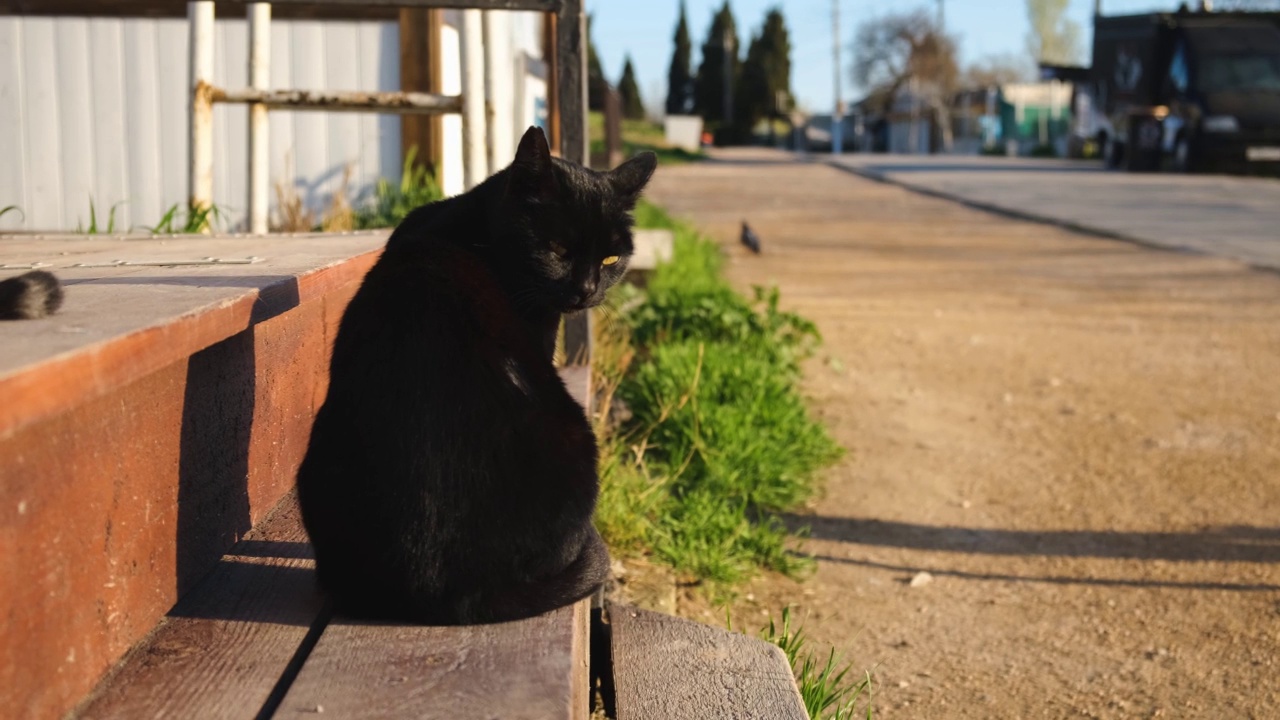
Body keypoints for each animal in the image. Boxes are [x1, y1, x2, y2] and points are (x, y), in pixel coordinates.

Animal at [295, 126, 655, 620]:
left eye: (609, 260)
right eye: (558, 250)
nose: (586, 290)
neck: (478, 231)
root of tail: (447, 590)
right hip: (580, 438)